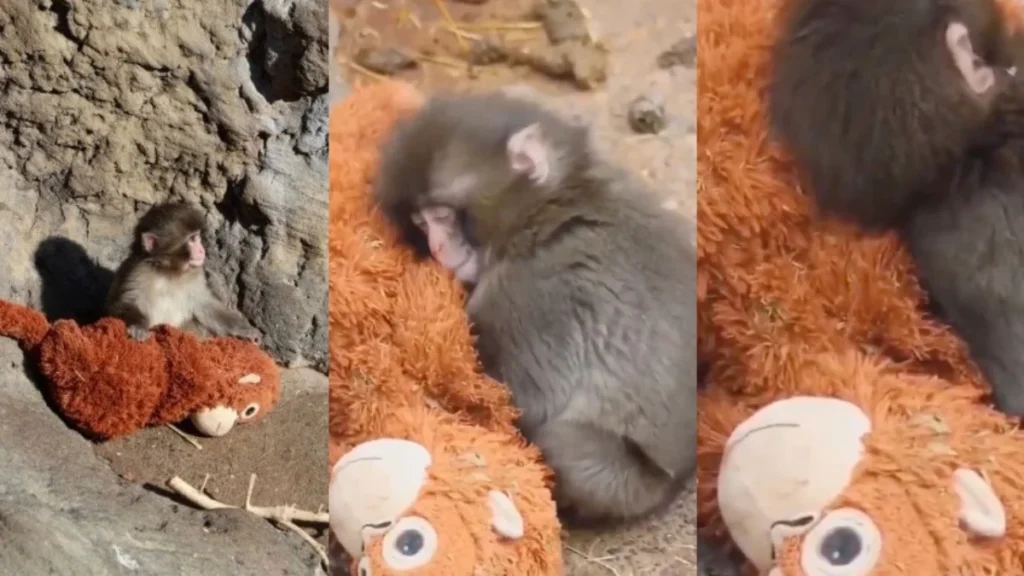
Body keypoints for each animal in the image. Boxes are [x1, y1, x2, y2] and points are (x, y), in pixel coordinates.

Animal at [105, 202, 262, 344]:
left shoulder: (196, 275)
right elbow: (127, 301)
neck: (170, 272)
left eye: (197, 237)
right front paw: (138, 326)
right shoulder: (138, 271)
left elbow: (205, 305)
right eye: (192, 239)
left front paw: (245, 330)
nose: (201, 250)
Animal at [374, 92, 698, 526]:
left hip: (625, 482)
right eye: (422, 224)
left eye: (443, 215)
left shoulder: (530, 293)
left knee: (563, 441)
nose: (438, 247)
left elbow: (524, 402)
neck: (548, 207)